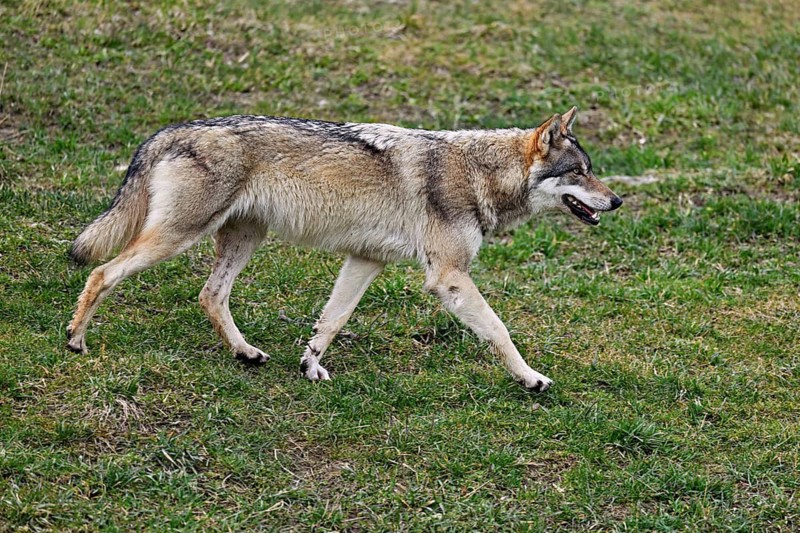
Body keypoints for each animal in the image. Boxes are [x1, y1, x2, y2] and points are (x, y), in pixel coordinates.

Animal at [67, 107, 621, 392]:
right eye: (579, 172)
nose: (616, 200)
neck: (480, 173)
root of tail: (169, 130)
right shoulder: (448, 276)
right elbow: (500, 330)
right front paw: (530, 378)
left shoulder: (365, 260)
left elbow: (330, 323)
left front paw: (310, 367)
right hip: (179, 237)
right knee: (101, 273)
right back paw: (75, 341)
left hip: (243, 239)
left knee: (209, 295)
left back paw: (246, 352)